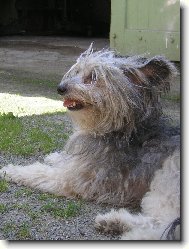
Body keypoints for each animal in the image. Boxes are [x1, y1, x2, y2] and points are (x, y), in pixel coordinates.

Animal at [0, 44, 180, 239]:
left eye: (93, 77)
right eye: (77, 71)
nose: (60, 88)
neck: (118, 129)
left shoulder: (72, 178)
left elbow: (39, 172)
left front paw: (12, 170)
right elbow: (63, 159)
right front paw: (55, 157)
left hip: (166, 181)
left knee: (161, 224)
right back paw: (113, 222)